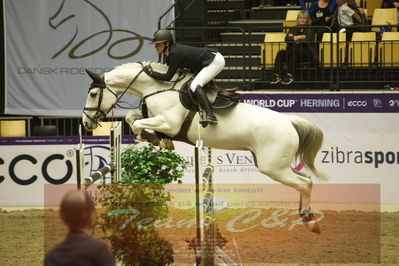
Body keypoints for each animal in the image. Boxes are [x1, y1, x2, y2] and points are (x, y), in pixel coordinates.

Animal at [81, 61, 328, 233]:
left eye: (93, 93)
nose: (85, 123)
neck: (159, 89)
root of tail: (289, 121)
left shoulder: (169, 122)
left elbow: (138, 124)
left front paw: (153, 139)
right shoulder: (158, 120)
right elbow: (132, 118)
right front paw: (158, 139)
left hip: (273, 167)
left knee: (303, 183)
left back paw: (309, 220)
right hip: (273, 164)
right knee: (305, 181)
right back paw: (305, 217)